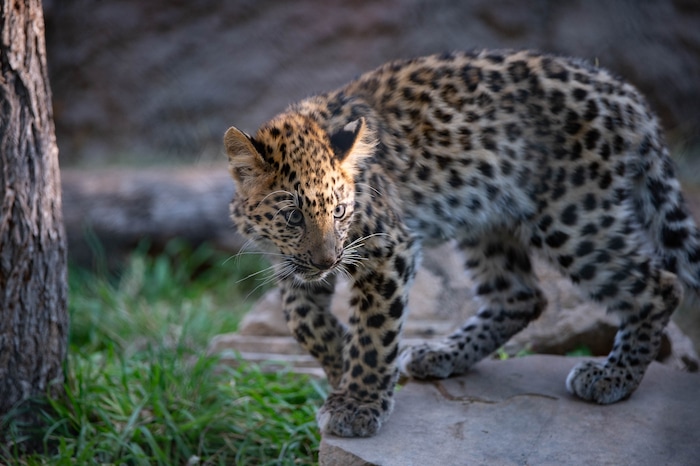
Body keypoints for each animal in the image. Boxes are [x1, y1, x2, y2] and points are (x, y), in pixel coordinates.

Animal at [223, 49, 700, 438]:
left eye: (340, 211)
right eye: (293, 216)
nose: (329, 262)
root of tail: (627, 93)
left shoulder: (389, 249)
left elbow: (374, 332)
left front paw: (357, 402)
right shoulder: (295, 264)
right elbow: (300, 316)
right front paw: (342, 361)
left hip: (575, 217)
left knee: (660, 285)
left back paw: (610, 377)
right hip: (488, 219)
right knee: (520, 296)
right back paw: (440, 353)